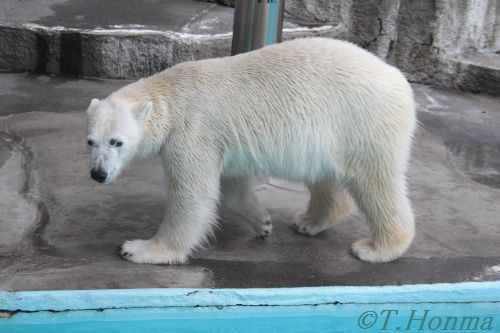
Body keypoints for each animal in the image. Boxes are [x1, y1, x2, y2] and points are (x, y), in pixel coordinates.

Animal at [88, 37, 416, 264]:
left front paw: (139, 249)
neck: (171, 95)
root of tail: (399, 79)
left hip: (363, 121)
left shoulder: (192, 132)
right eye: (90, 141)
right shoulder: (222, 142)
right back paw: (308, 222)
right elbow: (232, 187)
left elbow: (193, 195)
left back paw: (377, 248)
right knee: (327, 177)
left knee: (376, 182)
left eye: (117, 142)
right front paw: (263, 222)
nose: (98, 173)